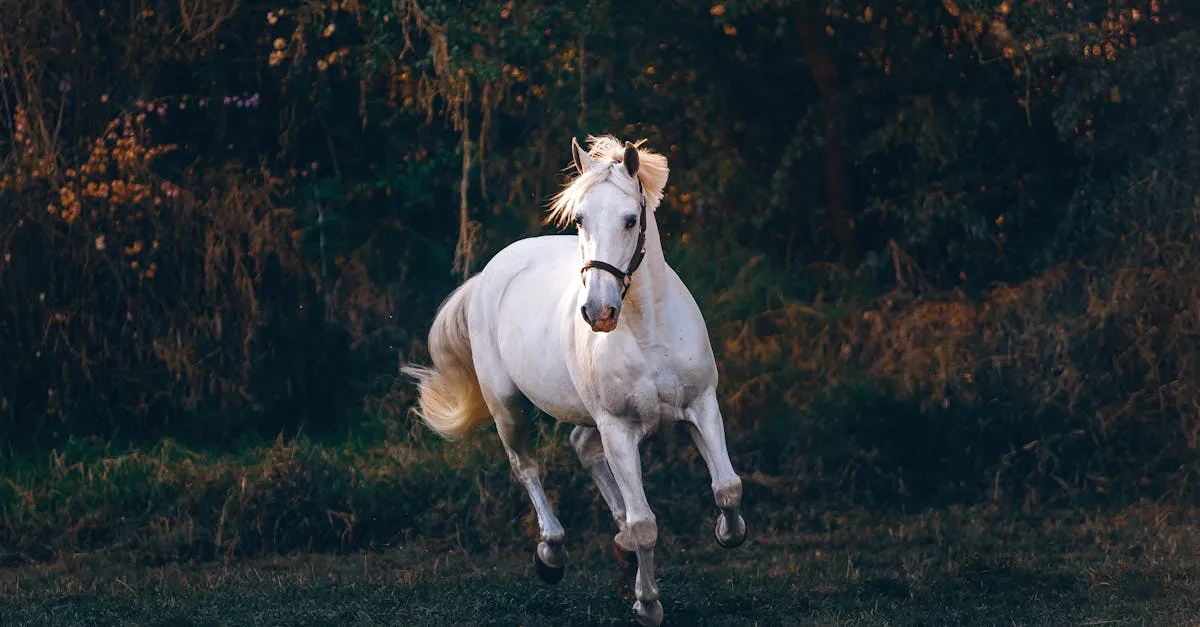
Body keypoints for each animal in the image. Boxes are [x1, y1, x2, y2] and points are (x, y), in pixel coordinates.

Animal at [401, 135, 746, 626]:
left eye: (631, 219)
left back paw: (618, 549)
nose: (598, 312)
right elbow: (645, 523)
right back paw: (552, 553)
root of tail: (489, 273)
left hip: (587, 414)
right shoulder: (618, 428)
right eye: (580, 218)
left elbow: (727, 488)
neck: (648, 330)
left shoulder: (701, 406)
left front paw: (723, 532)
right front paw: (648, 604)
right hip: (507, 405)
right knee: (527, 467)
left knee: (582, 447)